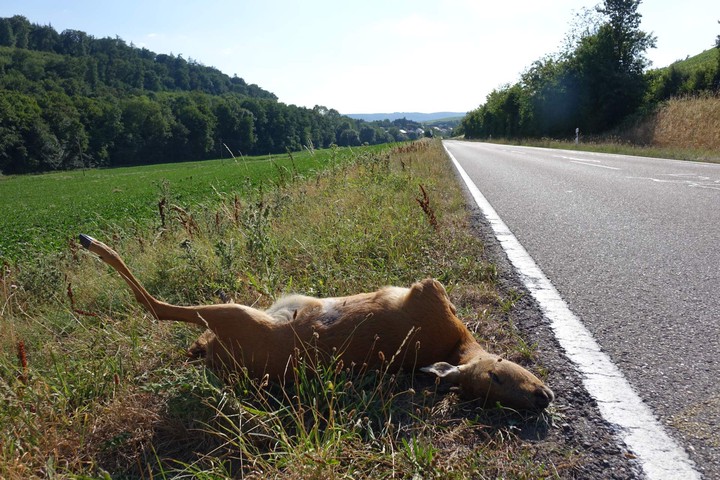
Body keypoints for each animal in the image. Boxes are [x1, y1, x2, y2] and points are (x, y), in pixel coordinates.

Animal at [81, 234, 556, 410]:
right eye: (496, 377)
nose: (543, 399)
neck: (453, 342)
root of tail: (219, 360)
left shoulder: (427, 290)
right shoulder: (430, 292)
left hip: (237, 314)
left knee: (157, 308)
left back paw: (92, 243)